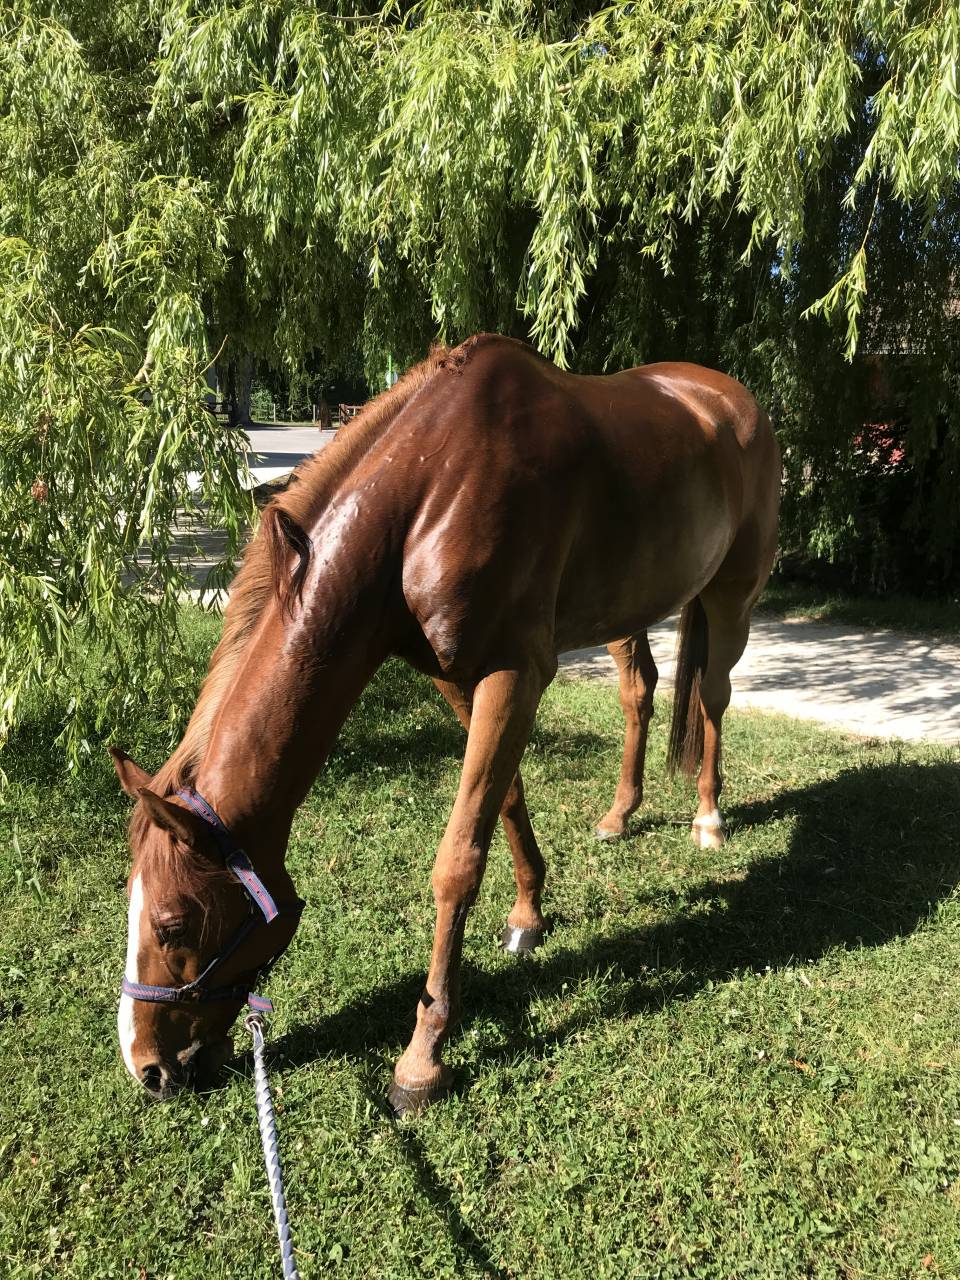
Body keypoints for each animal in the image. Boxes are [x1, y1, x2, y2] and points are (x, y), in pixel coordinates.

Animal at [111, 333, 780, 1112]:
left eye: (174, 923)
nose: (147, 1067)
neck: (431, 489)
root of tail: (731, 398)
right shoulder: (455, 675)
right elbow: (507, 799)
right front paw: (528, 916)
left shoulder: (515, 673)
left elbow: (458, 858)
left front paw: (422, 1056)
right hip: (630, 606)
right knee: (639, 691)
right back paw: (620, 813)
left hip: (733, 597)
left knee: (714, 696)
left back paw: (709, 817)